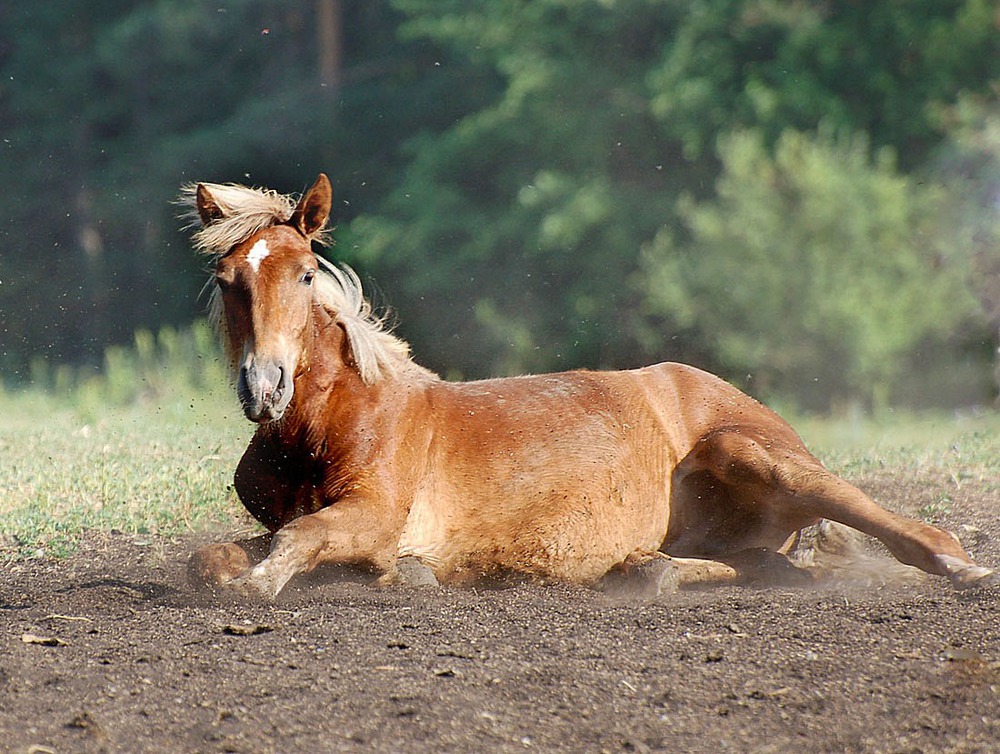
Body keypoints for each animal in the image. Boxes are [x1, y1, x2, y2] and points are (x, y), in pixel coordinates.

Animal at [180, 173, 992, 596]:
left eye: (305, 274)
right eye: (226, 281)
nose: (264, 387)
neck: (322, 427)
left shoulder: (376, 516)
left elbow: (302, 538)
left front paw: (266, 585)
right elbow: (212, 556)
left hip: (755, 455)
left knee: (896, 523)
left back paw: (962, 565)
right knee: (753, 564)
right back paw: (646, 569)